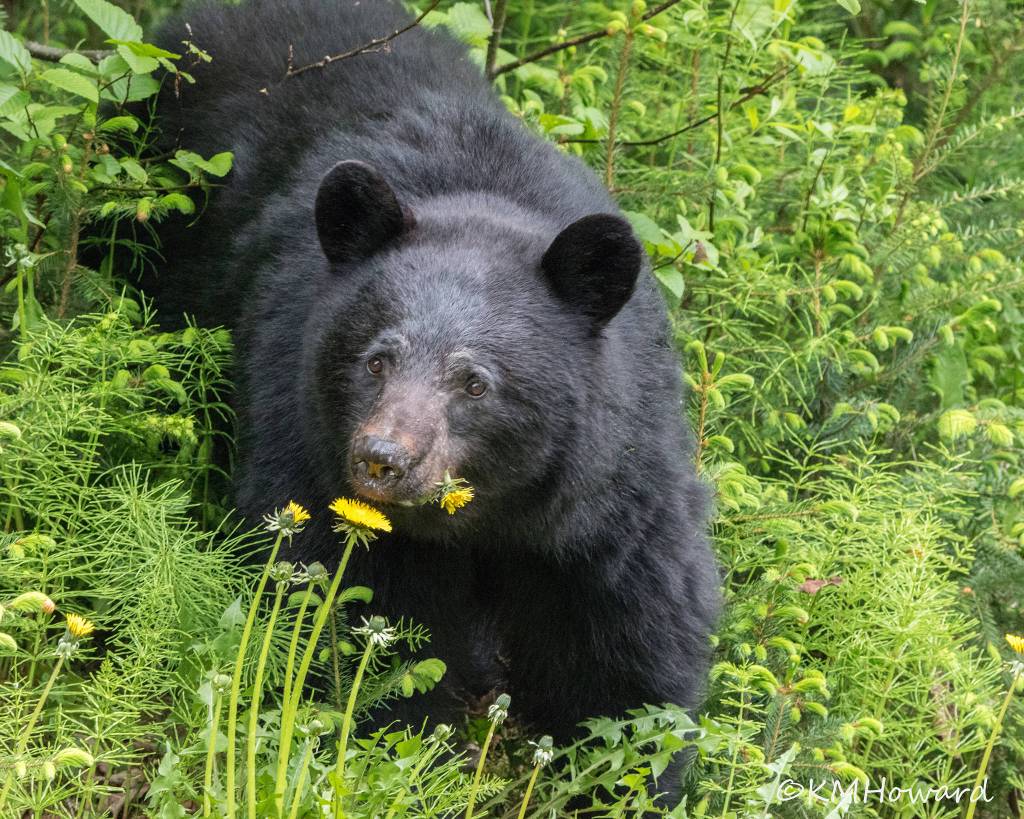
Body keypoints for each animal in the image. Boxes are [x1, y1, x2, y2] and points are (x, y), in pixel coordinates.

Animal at [147, 0, 720, 798]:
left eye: (474, 381)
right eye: (376, 360)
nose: (381, 459)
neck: (487, 516)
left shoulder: (609, 488)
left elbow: (630, 629)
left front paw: (629, 777)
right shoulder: (306, 440)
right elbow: (360, 617)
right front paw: (412, 763)